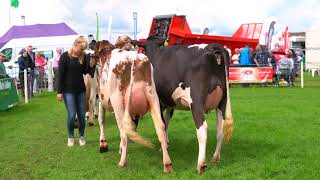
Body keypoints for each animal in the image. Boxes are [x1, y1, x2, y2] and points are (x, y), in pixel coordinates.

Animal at [131, 39, 234, 174]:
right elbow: (166, 122)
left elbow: (162, 125)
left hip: (196, 102)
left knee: (202, 129)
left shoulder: (158, 103)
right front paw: (166, 145)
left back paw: (201, 165)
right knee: (220, 129)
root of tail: (212, 47)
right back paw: (216, 158)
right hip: (223, 101)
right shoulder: (170, 104)